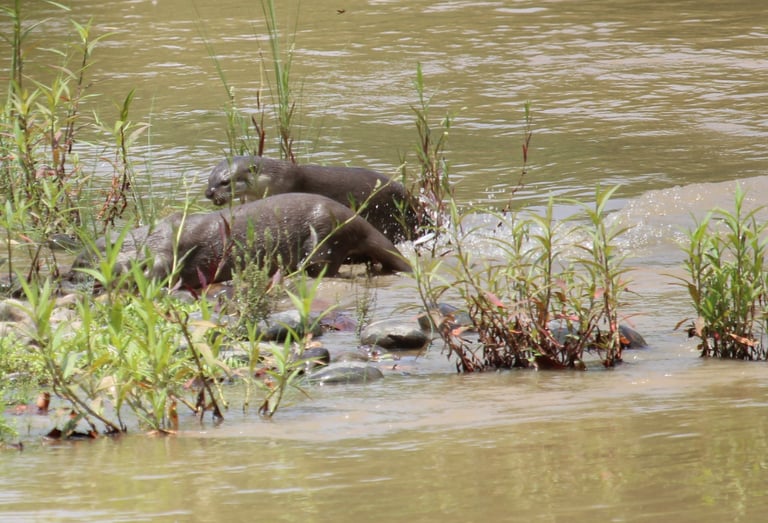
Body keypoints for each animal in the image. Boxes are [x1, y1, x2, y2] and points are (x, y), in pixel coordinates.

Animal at [71, 193, 411, 289]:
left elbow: (161, 267)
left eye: (81, 264)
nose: (69, 275)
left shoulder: (166, 248)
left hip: (325, 232)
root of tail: (355, 219)